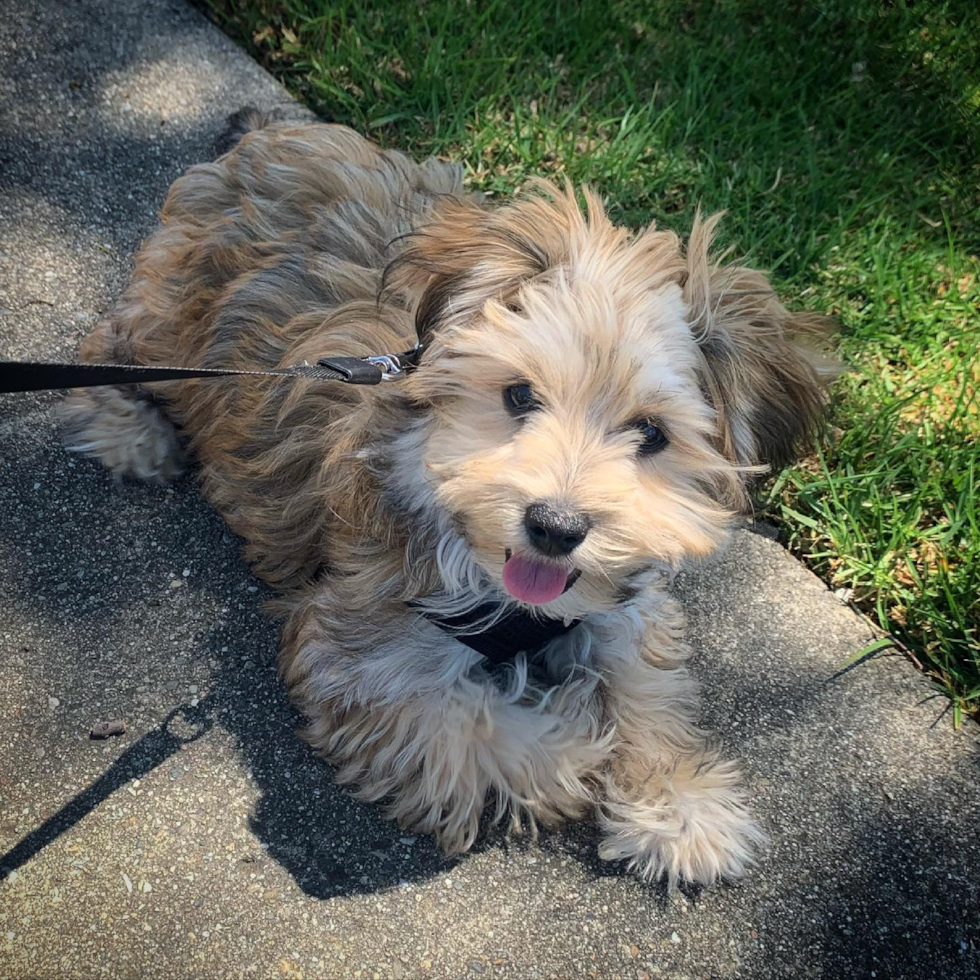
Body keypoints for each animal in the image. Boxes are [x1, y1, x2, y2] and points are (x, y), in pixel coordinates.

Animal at [63, 109, 836, 888]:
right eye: (519, 395)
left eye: (651, 433)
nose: (555, 526)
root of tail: (272, 135)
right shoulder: (370, 656)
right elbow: (484, 728)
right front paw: (581, 740)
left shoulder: (622, 610)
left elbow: (645, 690)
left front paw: (680, 806)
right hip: (176, 316)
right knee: (109, 340)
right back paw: (129, 427)